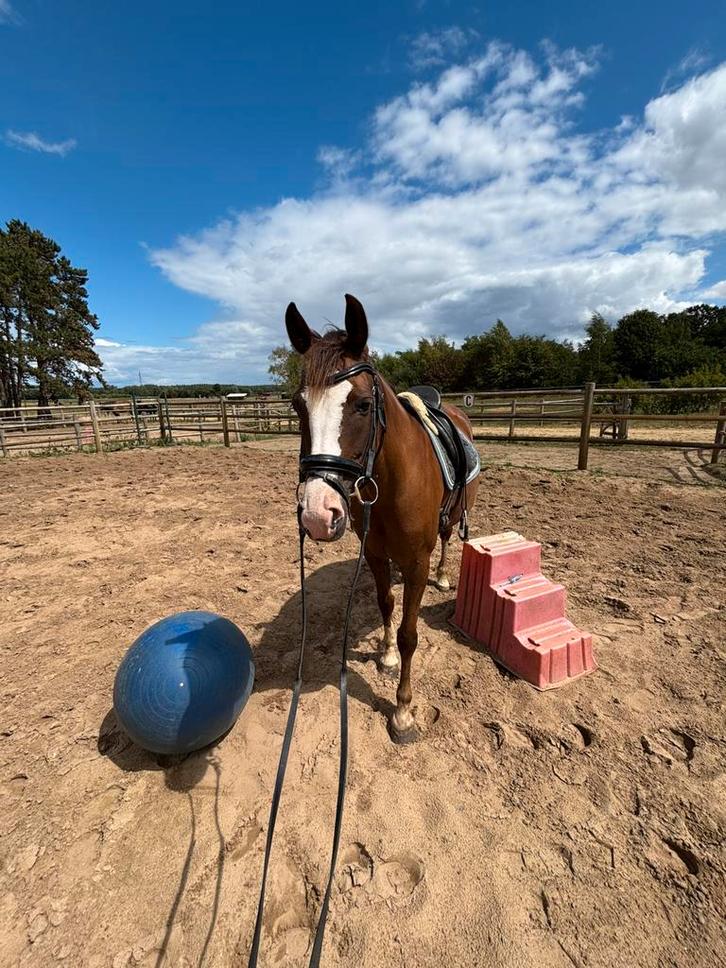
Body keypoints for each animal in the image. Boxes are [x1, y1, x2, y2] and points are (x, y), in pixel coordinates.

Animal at [286, 293, 480, 743]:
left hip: (454, 517)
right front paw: (387, 655)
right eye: (298, 406)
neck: (392, 484)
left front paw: (403, 710)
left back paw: (444, 576)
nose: (317, 514)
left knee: (448, 538)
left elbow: (411, 633)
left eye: (363, 405)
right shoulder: (374, 554)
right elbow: (385, 603)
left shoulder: (416, 562)